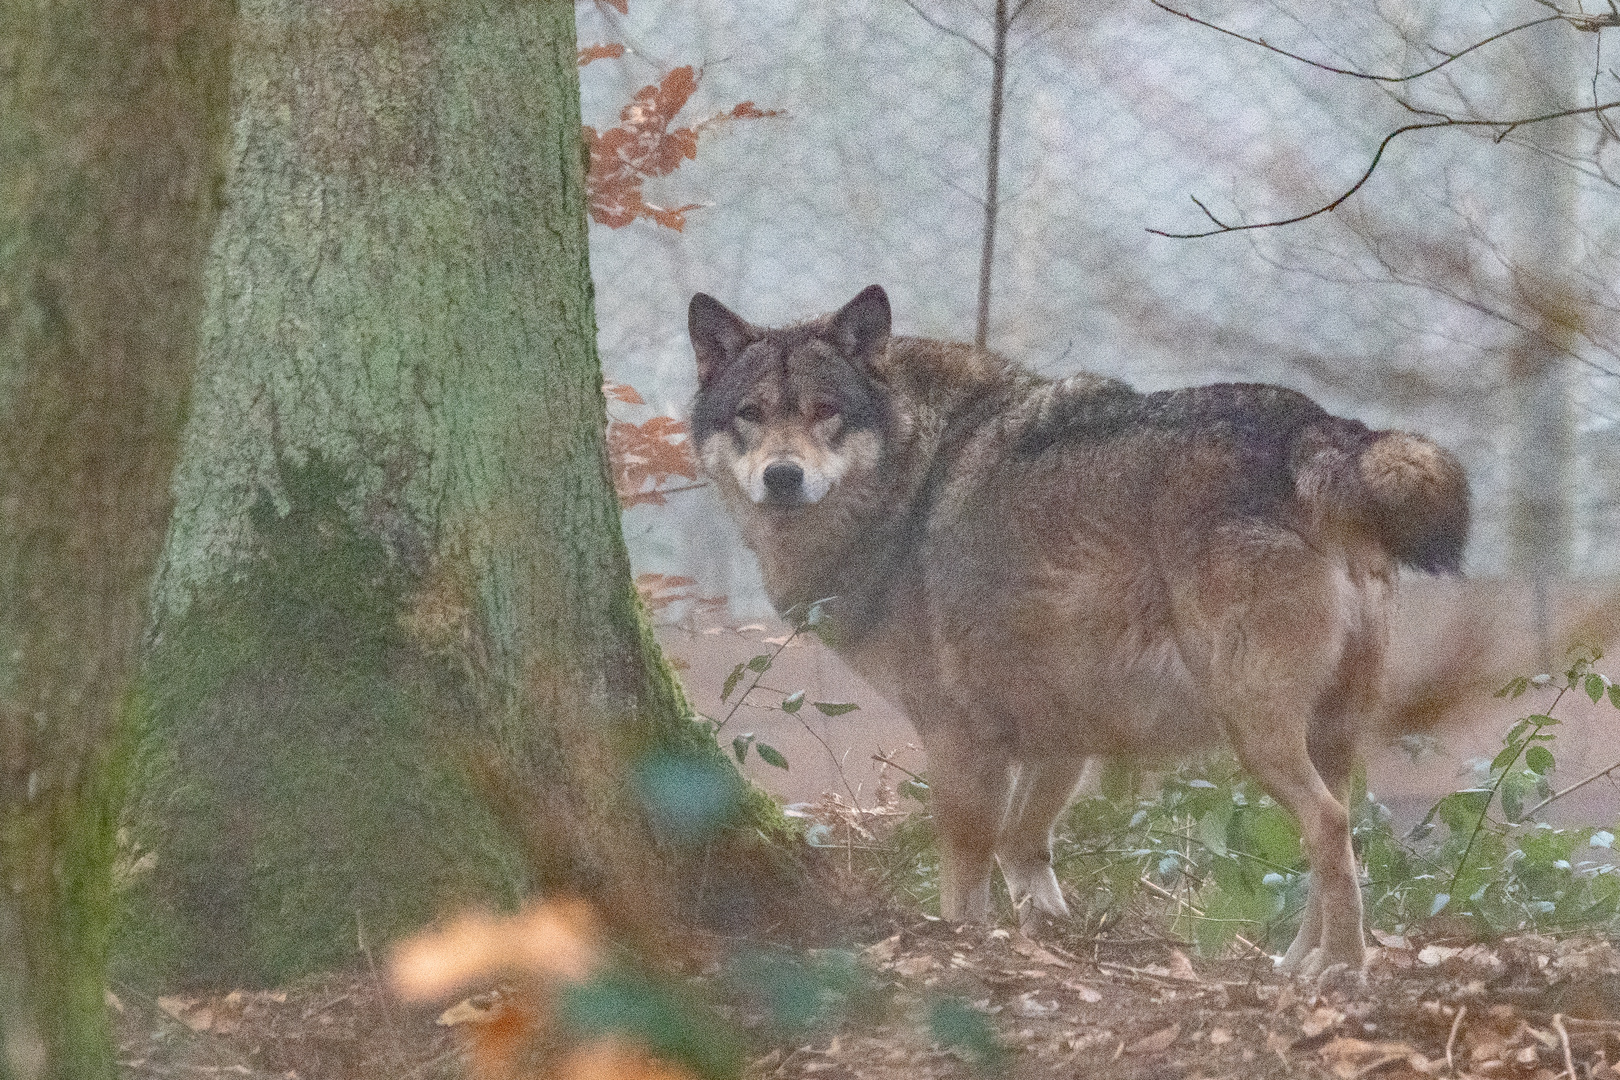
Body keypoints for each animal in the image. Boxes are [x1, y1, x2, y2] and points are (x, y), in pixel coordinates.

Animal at [690, 283, 1477, 977]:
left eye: (824, 411)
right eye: (750, 414)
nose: (782, 476)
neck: (908, 484)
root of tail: (1319, 427)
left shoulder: (957, 737)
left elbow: (967, 870)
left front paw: (965, 942)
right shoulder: (1062, 735)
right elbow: (1023, 845)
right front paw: (1049, 931)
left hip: (1254, 728)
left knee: (1330, 826)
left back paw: (1342, 969)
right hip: (1328, 734)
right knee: (1338, 836)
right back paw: (1296, 963)